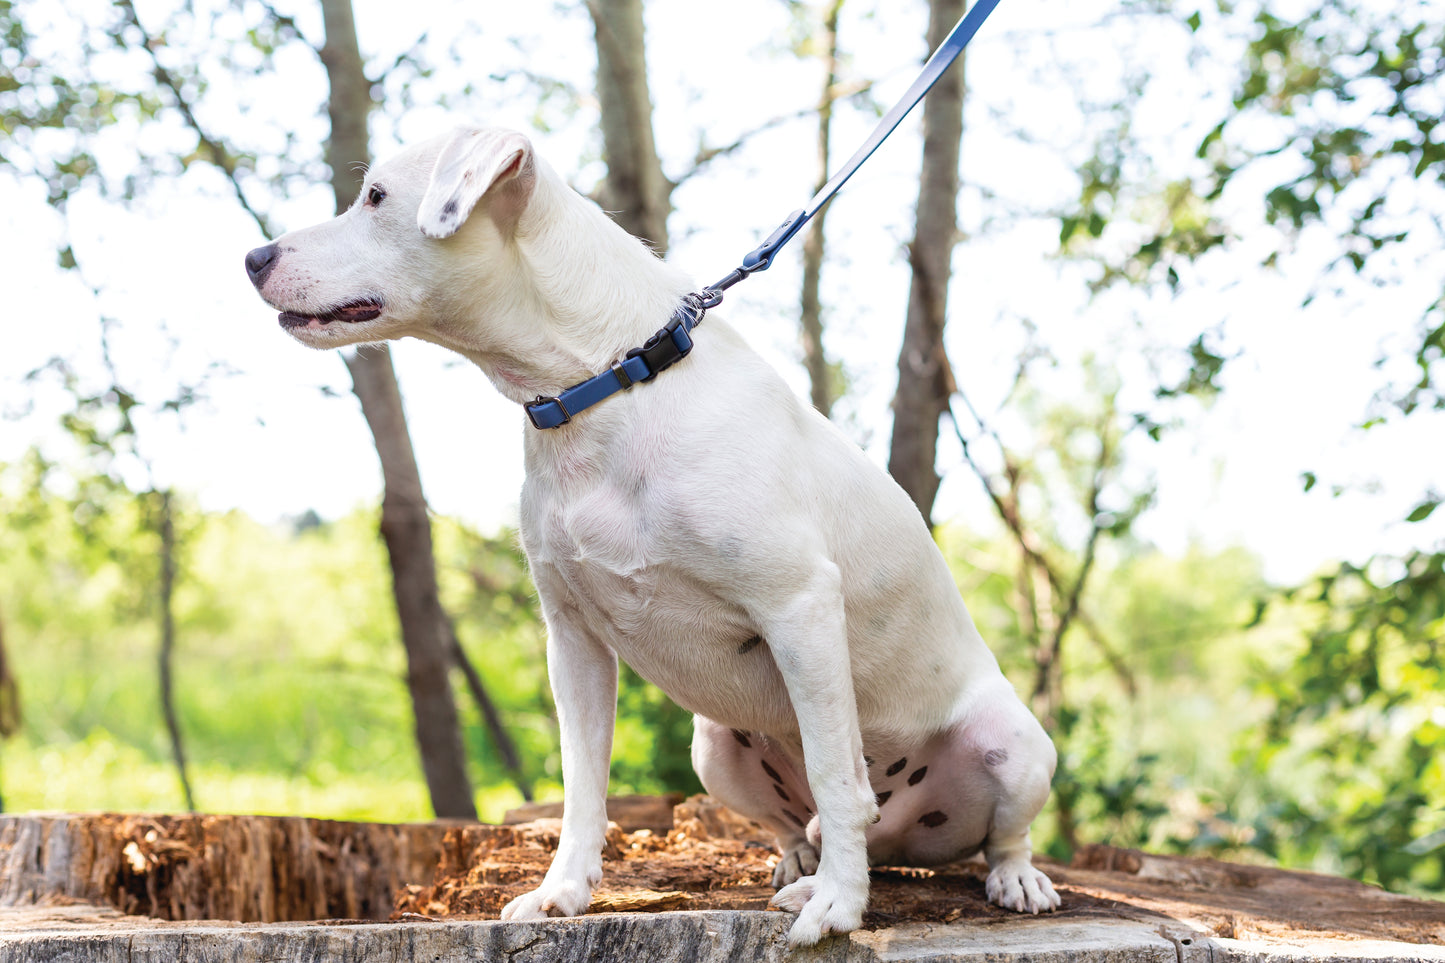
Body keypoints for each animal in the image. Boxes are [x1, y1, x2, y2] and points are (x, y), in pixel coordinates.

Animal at [245, 123, 1063, 942]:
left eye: (376, 197)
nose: (253, 258)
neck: (607, 383)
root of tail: (902, 836)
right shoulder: (572, 638)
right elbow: (581, 783)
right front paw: (561, 892)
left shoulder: (798, 607)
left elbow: (836, 771)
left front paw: (839, 905)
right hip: (715, 747)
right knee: (800, 823)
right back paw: (799, 864)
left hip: (1017, 746)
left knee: (988, 831)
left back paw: (1004, 879)